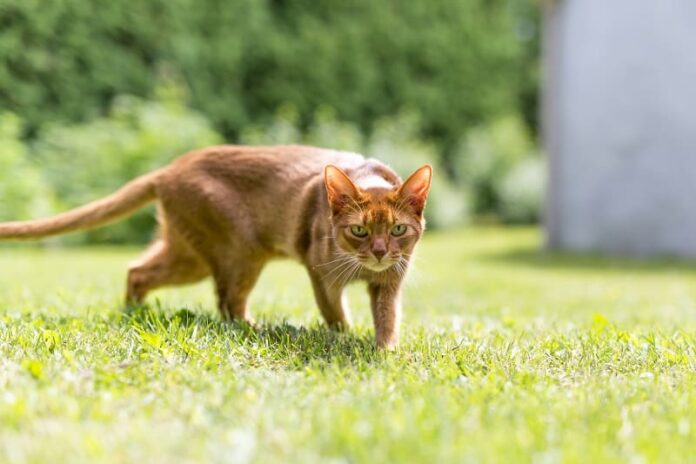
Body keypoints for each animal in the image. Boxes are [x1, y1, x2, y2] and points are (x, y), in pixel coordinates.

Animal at [0, 145, 430, 348]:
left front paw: (385, 352)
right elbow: (336, 314)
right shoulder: (320, 273)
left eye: (397, 230)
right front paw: (345, 338)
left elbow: (388, 318)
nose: (379, 252)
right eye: (359, 231)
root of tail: (166, 170)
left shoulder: (390, 282)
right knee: (227, 303)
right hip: (239, 253)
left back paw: (134, 312)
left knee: (138, 270)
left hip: (188, 254)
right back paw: (262, 329)